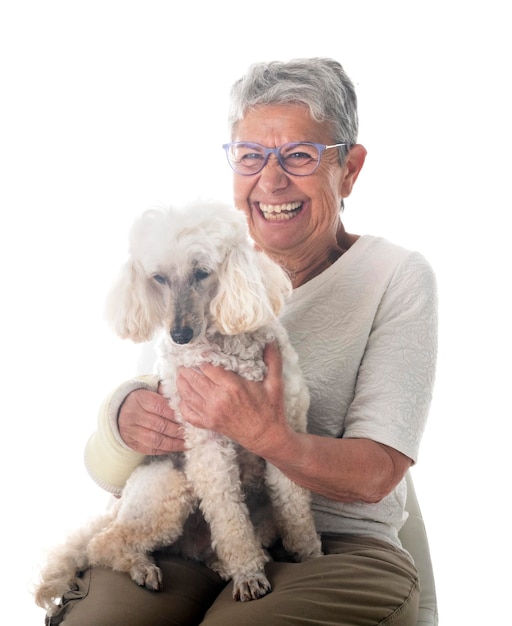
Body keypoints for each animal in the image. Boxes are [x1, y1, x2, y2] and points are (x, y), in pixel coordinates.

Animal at [36, 201, 322, 616]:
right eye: (158, 278)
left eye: (202, 272)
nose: (179, 335)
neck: (225, 349)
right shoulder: (209, 451)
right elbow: (230, 521)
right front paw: (249, 576)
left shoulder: (286, 435)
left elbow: (296, 508)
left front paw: (311, 556)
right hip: (170, 487)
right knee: (103, 543)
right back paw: (144, 567)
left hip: (260, 516)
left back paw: (224, 562)